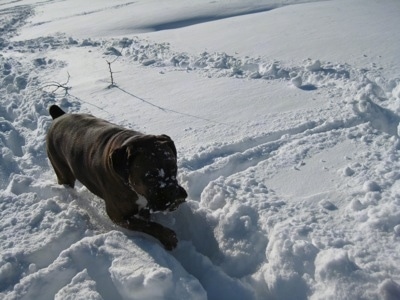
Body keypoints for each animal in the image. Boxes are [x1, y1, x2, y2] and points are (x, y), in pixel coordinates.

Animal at [45, 104, 188, 250]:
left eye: (174, 169)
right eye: (150, 178)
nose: (173, 192)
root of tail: (60, 115)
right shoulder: (118, 217)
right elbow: (148, 225)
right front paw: (168, 236)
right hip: (63, 173)